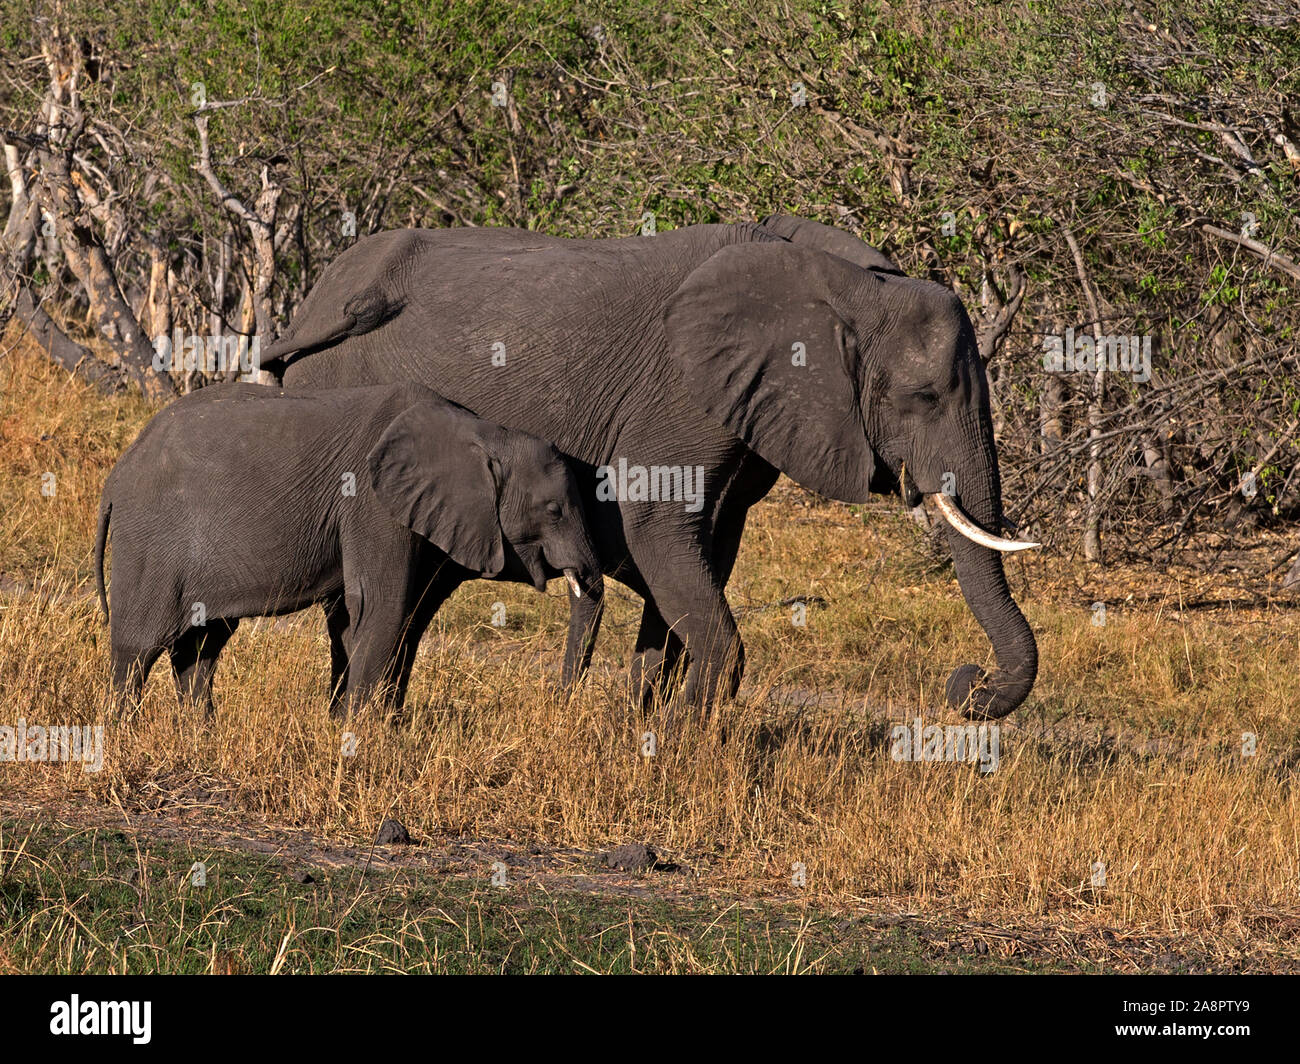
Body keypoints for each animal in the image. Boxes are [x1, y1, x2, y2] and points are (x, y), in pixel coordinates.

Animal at [94, 382, 603, 716]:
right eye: (554, 510)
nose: (560, 707)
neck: (480, 431)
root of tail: (117, 475)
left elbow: (366, 616)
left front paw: (356, 724)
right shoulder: (370, 501)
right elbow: (382, 605)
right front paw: (360, 737)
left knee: (201, 647)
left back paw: (200, 734)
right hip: (151, 539)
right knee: (138, 646)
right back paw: (123, 730)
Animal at [259, 215, 1038, 719]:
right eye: (924, 397)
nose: (967, 684)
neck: (852, 284)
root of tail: (316, 299)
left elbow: (709, 547)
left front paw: (648, 724)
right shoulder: (683, 395)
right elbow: (661, 526)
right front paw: (685, 737)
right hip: (336, 394)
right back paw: (355, 721)